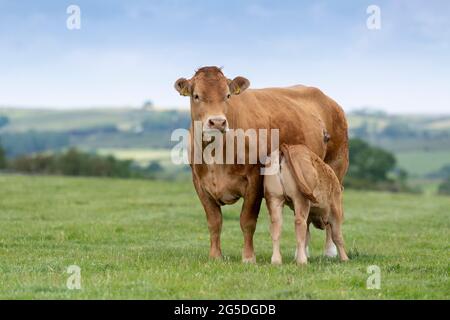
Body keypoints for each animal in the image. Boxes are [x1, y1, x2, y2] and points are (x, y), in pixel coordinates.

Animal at [173, 65, 348, 262]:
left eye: (227, 95)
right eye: (196, 96)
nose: (217, 122)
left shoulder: (255, 180)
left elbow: (247, 220)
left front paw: (249, 257)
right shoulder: (200, 184)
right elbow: (214, 221)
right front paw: (215, 256)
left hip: (335, 168)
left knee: (330, 216)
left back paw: (330, 251)